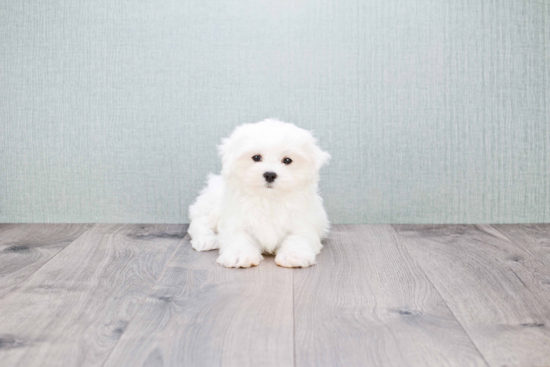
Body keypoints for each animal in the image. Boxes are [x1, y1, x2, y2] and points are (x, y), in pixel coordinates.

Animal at [189, 119, 332, 268]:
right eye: (256, 157)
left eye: (287, 160)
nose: (270, 174)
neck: (268, 199)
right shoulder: (235, 220)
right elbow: (239, 236)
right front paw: (239, 255)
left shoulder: (303, 221)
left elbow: (298, 237)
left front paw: (294, 255)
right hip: (211, 204)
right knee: (200, 220)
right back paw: (206, 239)